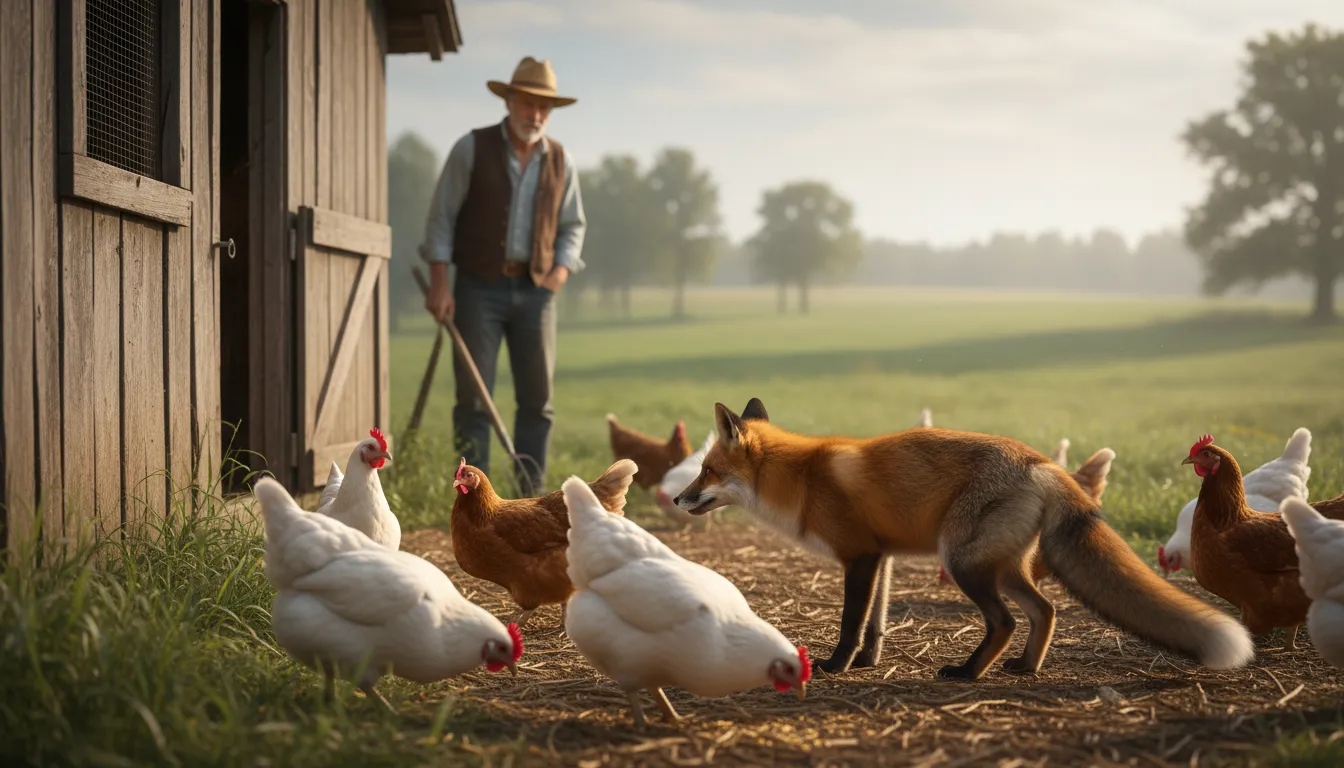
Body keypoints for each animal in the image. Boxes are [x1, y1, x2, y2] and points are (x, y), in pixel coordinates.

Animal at [672, 398, 1255, 681]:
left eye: (706, 470)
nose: (677, 498)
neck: (803, 477)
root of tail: (1042, 463)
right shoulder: (882, 556)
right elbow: (875, 622)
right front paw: (866, 664)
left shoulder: (860, 555)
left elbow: (850, 622)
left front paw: (837, 666)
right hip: (1002, 567)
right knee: (1045, 611)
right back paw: (1025, 667)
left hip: (964, 562)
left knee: (1005, 621)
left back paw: (968, 674)